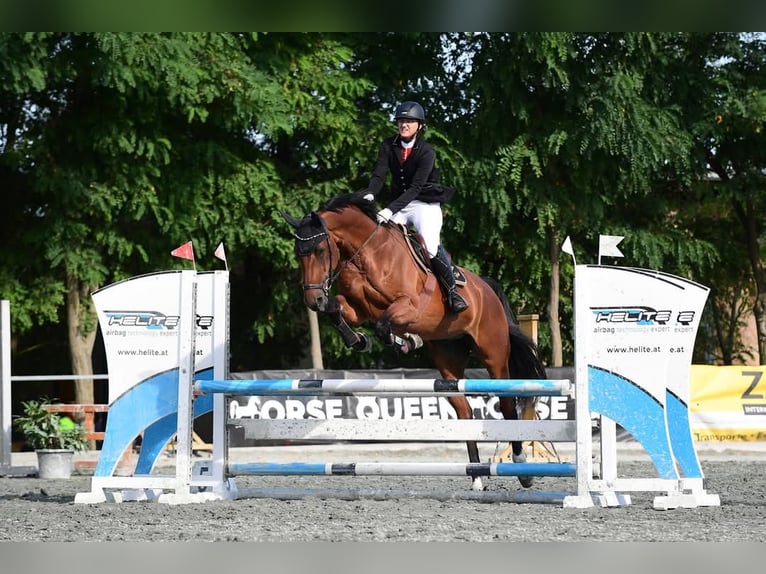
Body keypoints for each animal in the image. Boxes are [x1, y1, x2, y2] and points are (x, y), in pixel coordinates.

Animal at [284, 192, 548, 490]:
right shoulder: (359, 309)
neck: (367, 255)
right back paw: (477, 476)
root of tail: (487, 288)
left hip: (494, 352)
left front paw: (405, 340)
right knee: (464, 411)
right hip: (448, 361)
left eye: (319, 250)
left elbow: (383, 323)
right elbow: (337, 310)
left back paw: (523, 469)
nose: (313, 300)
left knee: (507, 403)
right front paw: (361, 340)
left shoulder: (408, 306)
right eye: (298, 254)